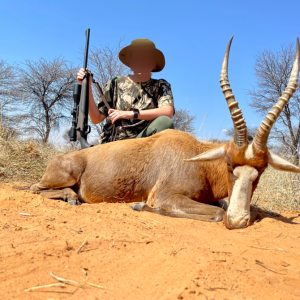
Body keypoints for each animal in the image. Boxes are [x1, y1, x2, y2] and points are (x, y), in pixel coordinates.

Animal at [27, 35, 298, 230]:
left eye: (261, 170)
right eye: (229, 165)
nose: (238, 221)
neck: (198, 160)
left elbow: (227, 205)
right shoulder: (168, 196)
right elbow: (217, 212)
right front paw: (139, 207)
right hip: (62, 176)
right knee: (34, 188)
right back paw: (71, 197)